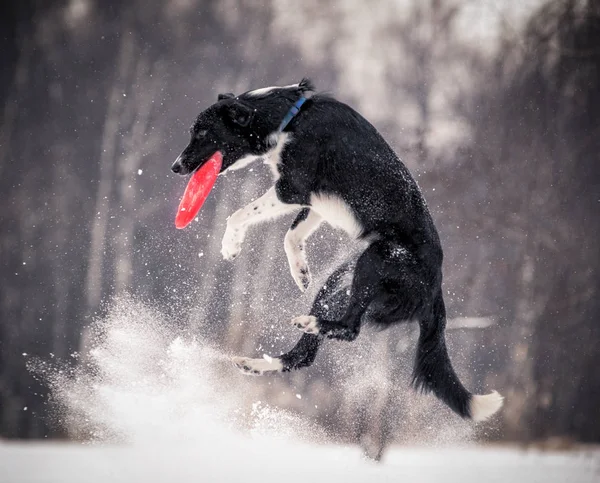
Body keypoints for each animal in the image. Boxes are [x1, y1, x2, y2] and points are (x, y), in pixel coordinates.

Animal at [171, 77, 504, 422]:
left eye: (202, 133)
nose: (175, 167)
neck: (291, 118)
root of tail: (436, 288)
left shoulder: (291, 189)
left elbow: (239, 215)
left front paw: (231, 245)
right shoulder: (315, 203)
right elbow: (291, 236)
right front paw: (300, 272)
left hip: (376, 260)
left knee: (349, 329)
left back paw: (309, 325)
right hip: (337, 285)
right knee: (305, 355)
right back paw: (257, 363)